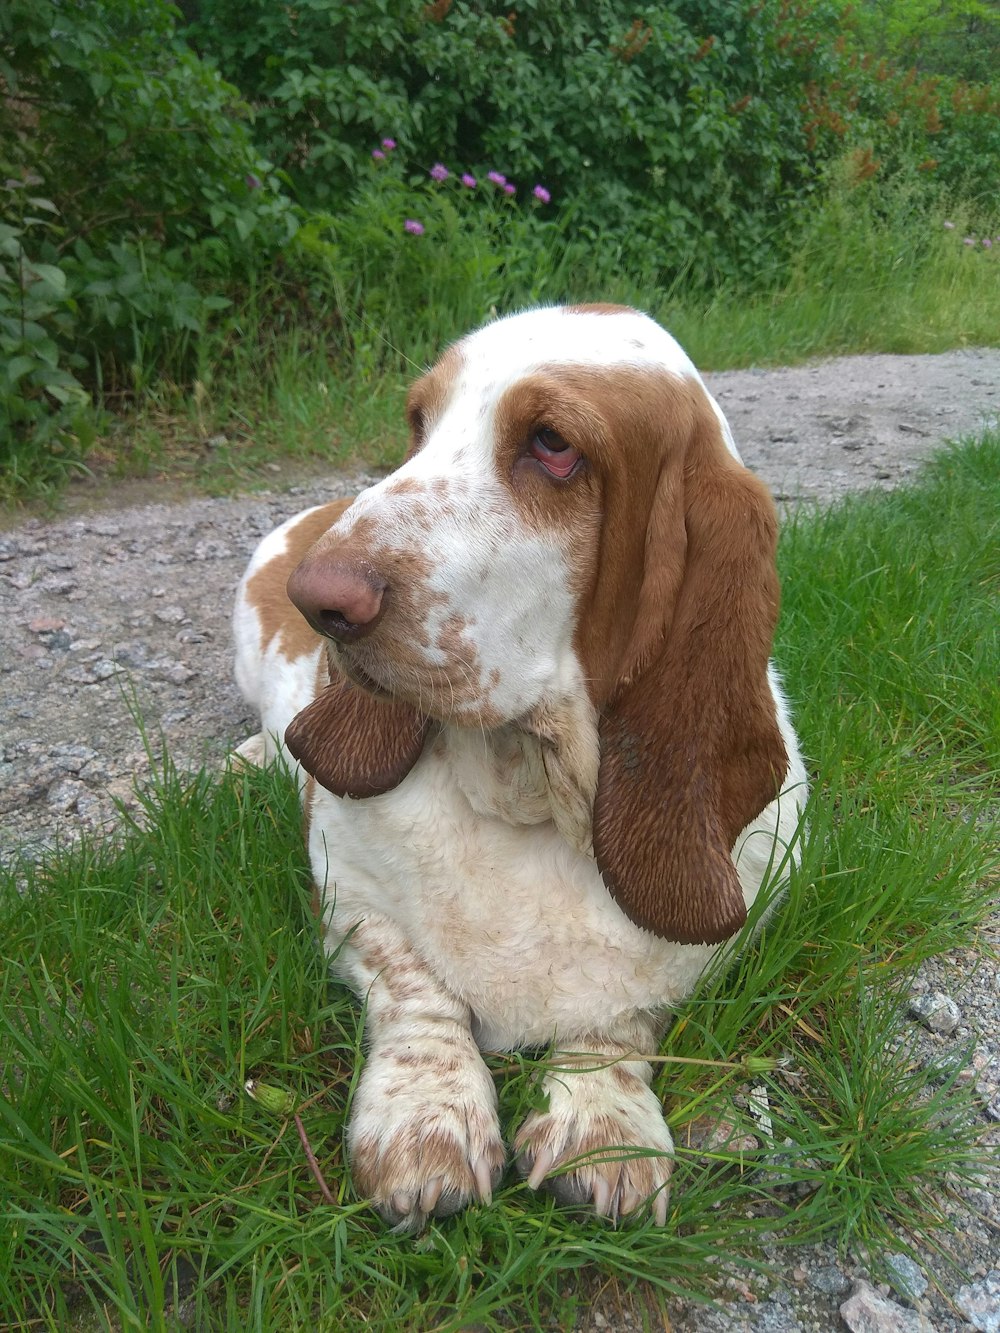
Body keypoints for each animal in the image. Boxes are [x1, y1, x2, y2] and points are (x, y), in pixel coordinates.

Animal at [233, 302, 805, 1226]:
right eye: (418, 421)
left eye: (552, 443)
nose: (318, 601)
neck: (528, 794)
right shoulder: (347, 892)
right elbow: (416, 985)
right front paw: (424, 1121)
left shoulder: (715, 942)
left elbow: (621, 1017)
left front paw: (604, 1126)